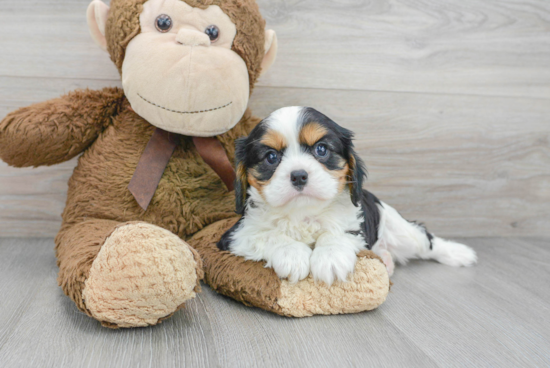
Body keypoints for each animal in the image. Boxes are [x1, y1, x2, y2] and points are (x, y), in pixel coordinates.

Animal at [219, 106, 478, 284]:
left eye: (321, 149)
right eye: (271, 157)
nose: (299, 175)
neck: (303, 214)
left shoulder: (356, 225)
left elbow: (336, 234)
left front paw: (330, 258)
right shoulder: (235, 235)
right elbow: (268, 235)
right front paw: (291, 254)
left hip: (400, 230)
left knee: (426, 240)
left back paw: (458, 253)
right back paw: (385, 258)